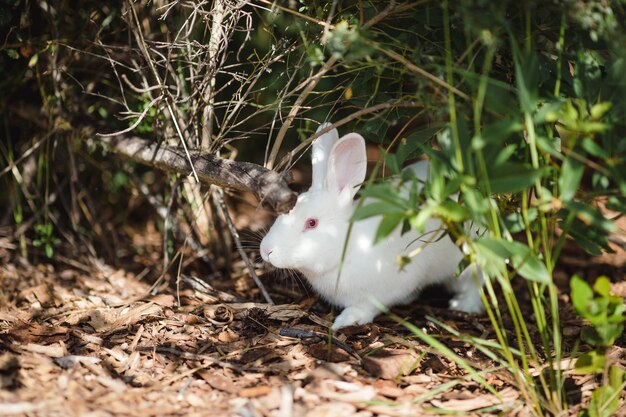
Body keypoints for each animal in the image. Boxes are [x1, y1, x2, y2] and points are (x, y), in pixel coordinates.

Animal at [258, 122, 482, 328]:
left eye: (311, 223)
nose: (266, 250)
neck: (350, 246)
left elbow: (368, 306)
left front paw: (346, 320)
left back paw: (464, 305)